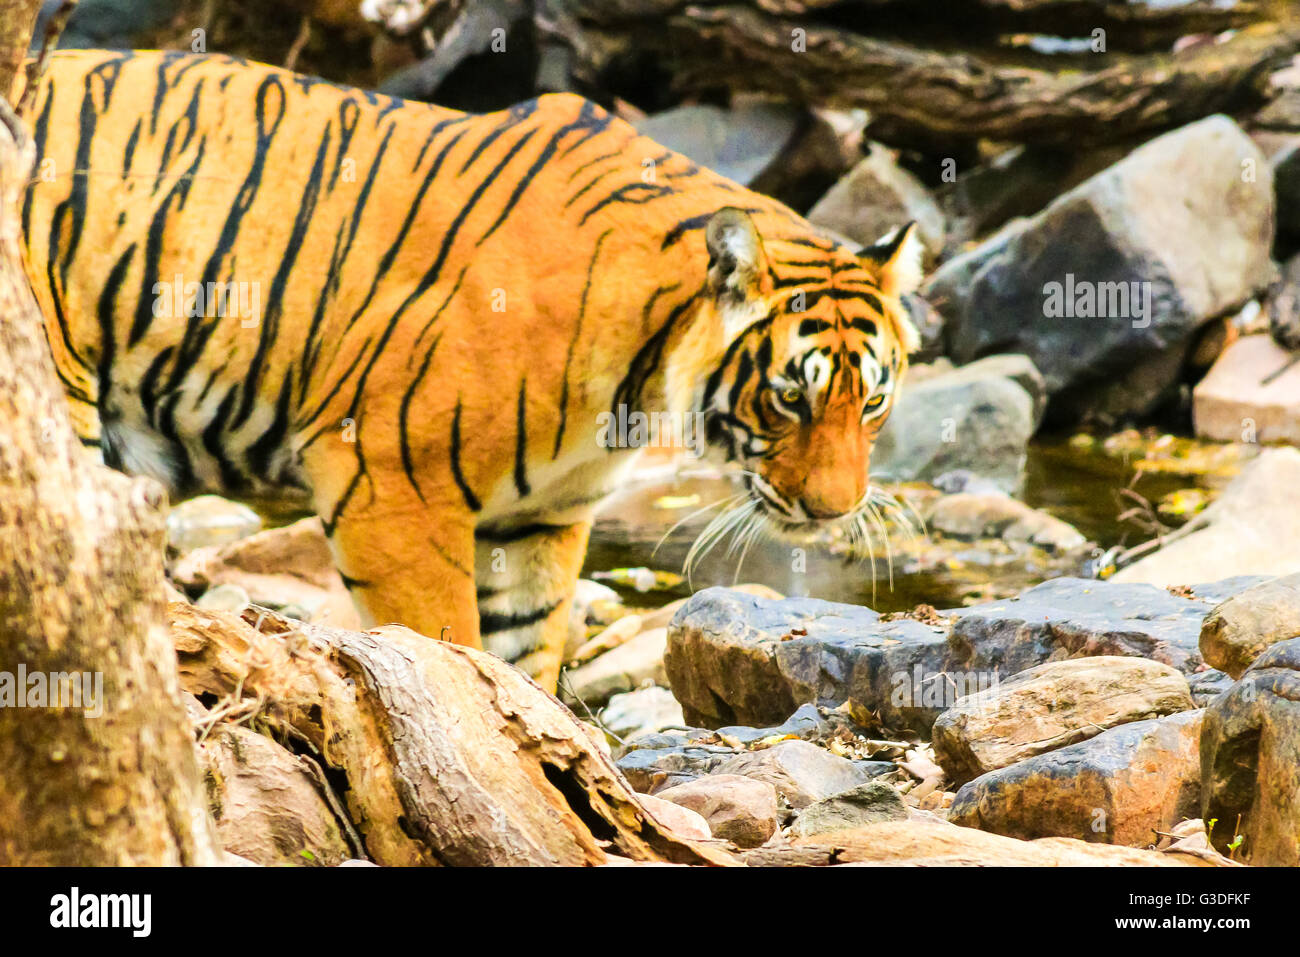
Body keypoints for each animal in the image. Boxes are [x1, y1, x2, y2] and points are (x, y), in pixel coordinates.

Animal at [15, 48, 920, 691]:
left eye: (873, 401)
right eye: (790, 397)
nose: (836, 509)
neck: (639, 380)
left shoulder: (541, 517)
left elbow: (528, 648)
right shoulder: (390, 480)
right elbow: (446, 641)